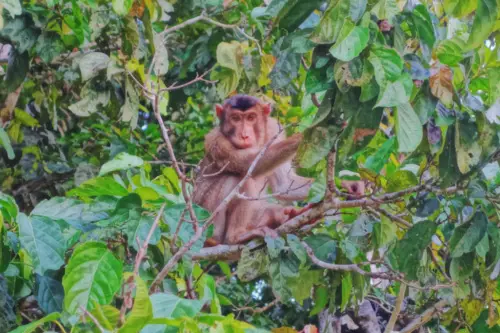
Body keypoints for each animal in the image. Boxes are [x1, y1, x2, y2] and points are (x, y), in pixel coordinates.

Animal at [192, 93, 312, 244]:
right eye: (235, 118)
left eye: (251, 117)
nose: (244, 135)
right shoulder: (216, 141)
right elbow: (247, 164)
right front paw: (303, 136)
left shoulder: (273, 129)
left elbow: (284, 184)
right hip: (208, 215)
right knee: (239, 178)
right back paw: (235, 237)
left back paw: (285, 216)